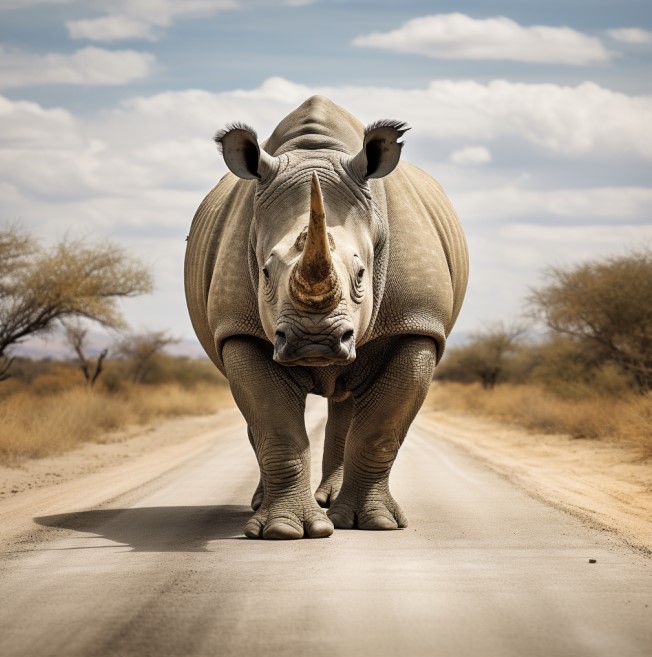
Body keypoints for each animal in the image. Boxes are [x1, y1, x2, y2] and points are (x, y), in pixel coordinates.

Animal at [185, 96, 468, 539]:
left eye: (361, 274)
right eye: (265, 272)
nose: (313, 341)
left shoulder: (417, 325)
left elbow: (380, 430)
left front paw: (377, 524)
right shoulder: (239, 330)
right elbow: (275, 426)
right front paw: (285, 531)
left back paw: (334, 506)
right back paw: (268, 505)